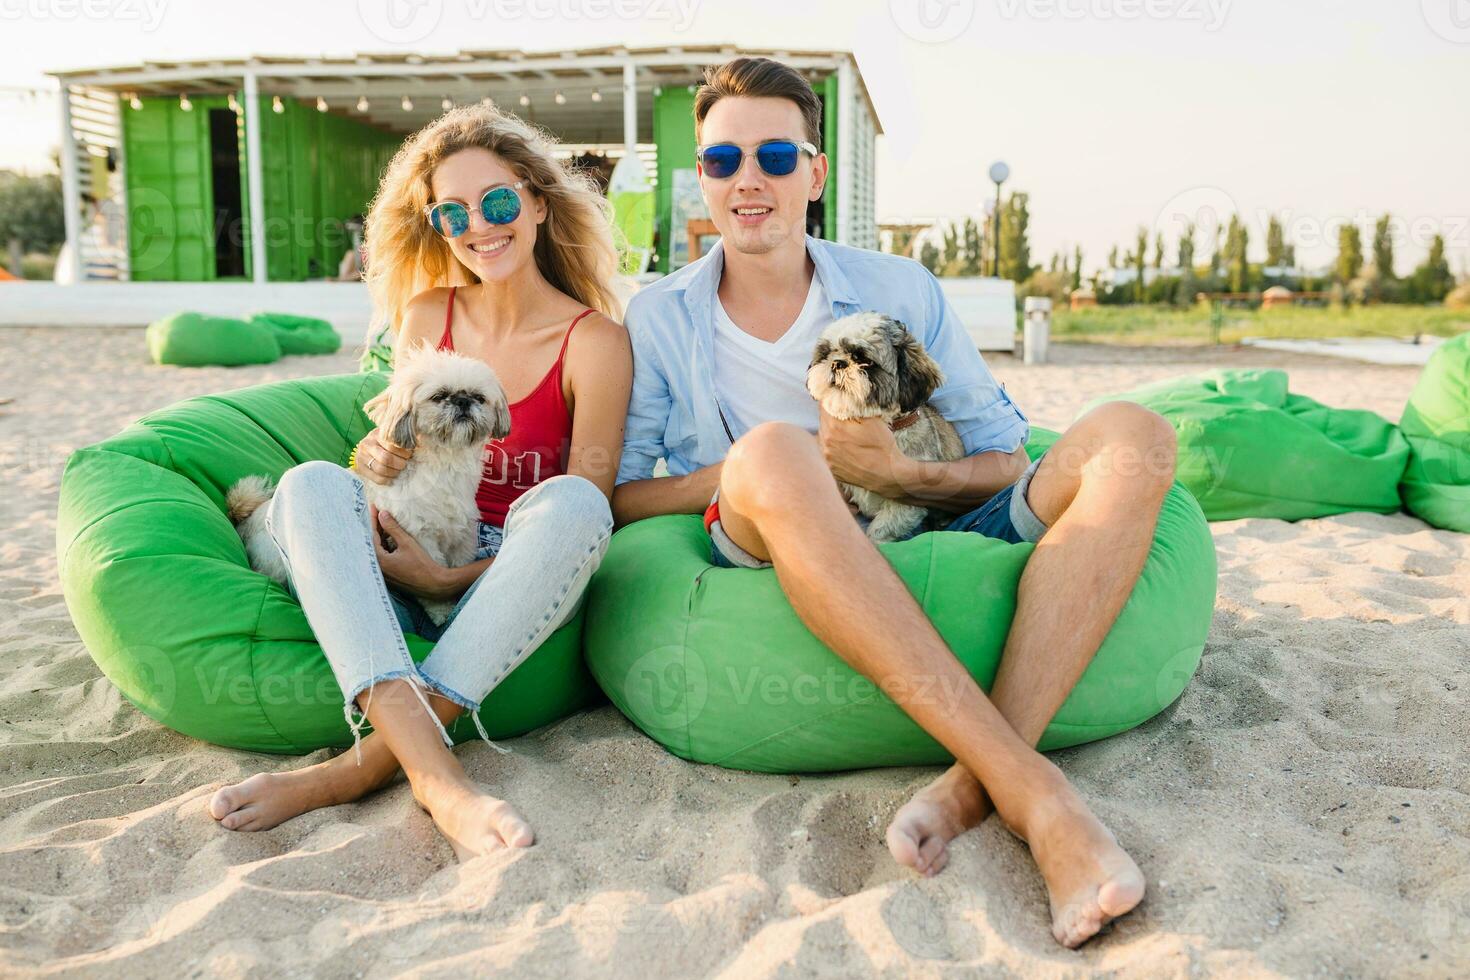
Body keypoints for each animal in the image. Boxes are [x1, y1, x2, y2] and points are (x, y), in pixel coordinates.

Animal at [223, 340, 511, 625]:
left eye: (479, 397)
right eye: (439, 396)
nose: (463, 401)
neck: (444, 466)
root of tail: (246, 518)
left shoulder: (462, 537)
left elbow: (455, 570)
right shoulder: (422, 539)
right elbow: (433, 587)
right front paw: (442, 613)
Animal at [805, 312, 964, 543]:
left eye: (864, 360)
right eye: (826, 353)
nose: (837, 363)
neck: (885, 423)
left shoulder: (905, 505)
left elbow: (880, 529)